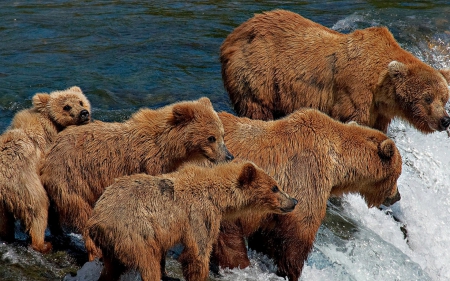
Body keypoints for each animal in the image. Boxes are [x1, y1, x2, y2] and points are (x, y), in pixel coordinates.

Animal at [0, 86, 90, 253]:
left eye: (81, 101)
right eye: (66, 106)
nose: (84, 113)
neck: (53, 127)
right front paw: (60, 232)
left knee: (5, 222)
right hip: (25, 185)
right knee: (38, 209)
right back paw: (43, 244)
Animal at [40, 97, 234, 260]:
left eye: (222, 134)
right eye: (211, 138)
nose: (229, 156)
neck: (170, 147)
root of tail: (49, 153)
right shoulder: (150, 164)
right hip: (73, 177)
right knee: (82, 212)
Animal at [87, 160, 298, 280]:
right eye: (275, 187)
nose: (294, 201)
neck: (217, 196)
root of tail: (96, 220)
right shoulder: (199, 214)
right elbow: (198, 252)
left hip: (113, 245)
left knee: (111, 269)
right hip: (135, 233)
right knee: (149, 264)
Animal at [212, 109, 404, 280]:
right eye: (398, 174)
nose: (397, 196)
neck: (336, 164)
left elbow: (267, 238)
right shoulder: (305, 176)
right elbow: (297, 234)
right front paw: (291, 272)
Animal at [221, 9, 450, 133]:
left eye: (444, 98)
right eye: (428, 97)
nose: (445, 120)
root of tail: (233, 35)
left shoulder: (379, 111)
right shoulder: (356, 92)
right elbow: (351, 119)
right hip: (259, 72)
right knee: (256, 106)